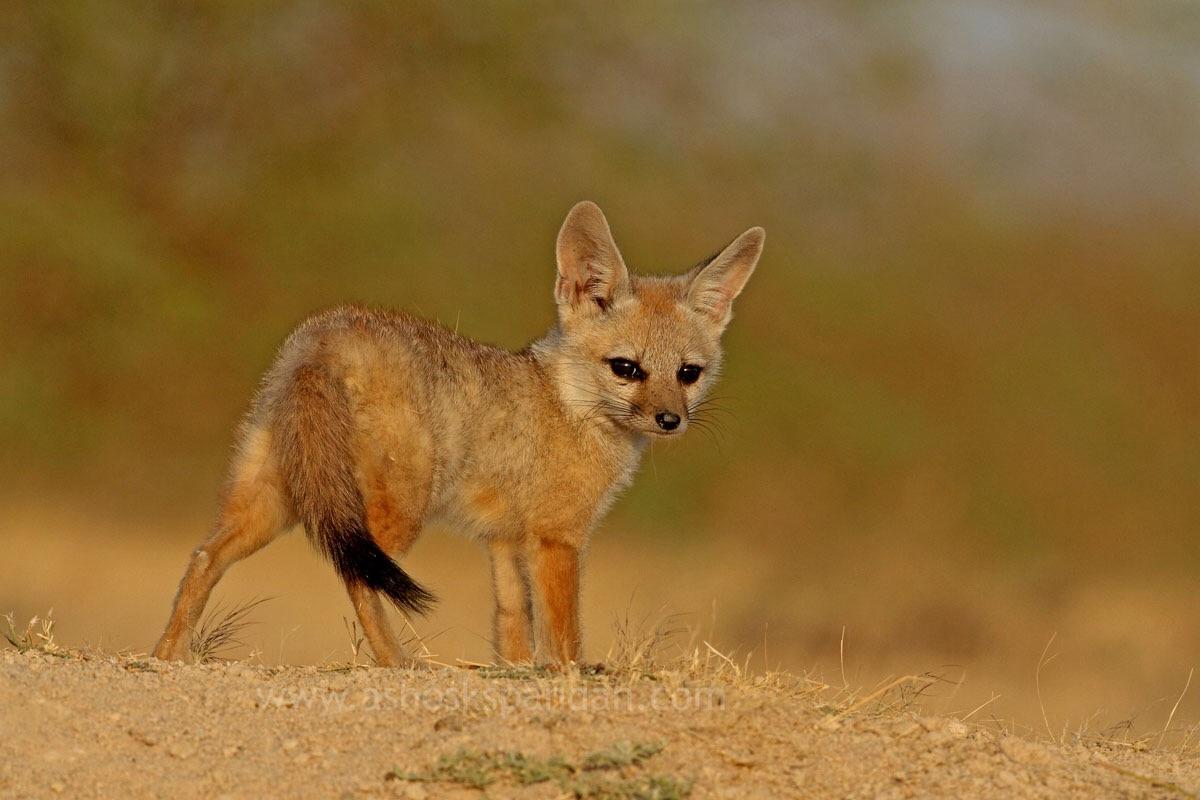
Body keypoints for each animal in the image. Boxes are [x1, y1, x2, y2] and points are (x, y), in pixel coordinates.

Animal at [154, 203, 763, 666]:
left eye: (688, 374)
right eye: (627, 368)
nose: (670, 420)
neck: (567, 403)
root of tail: (328, 332)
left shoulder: (504, 539)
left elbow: (513, 622)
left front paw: (516, 672)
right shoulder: (558, 538)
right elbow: (563, 633)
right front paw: (571, 675)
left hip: (275, 504)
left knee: (204, 556)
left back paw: (165, 654)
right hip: (392, 515)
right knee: (358, 577)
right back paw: (396, 662)